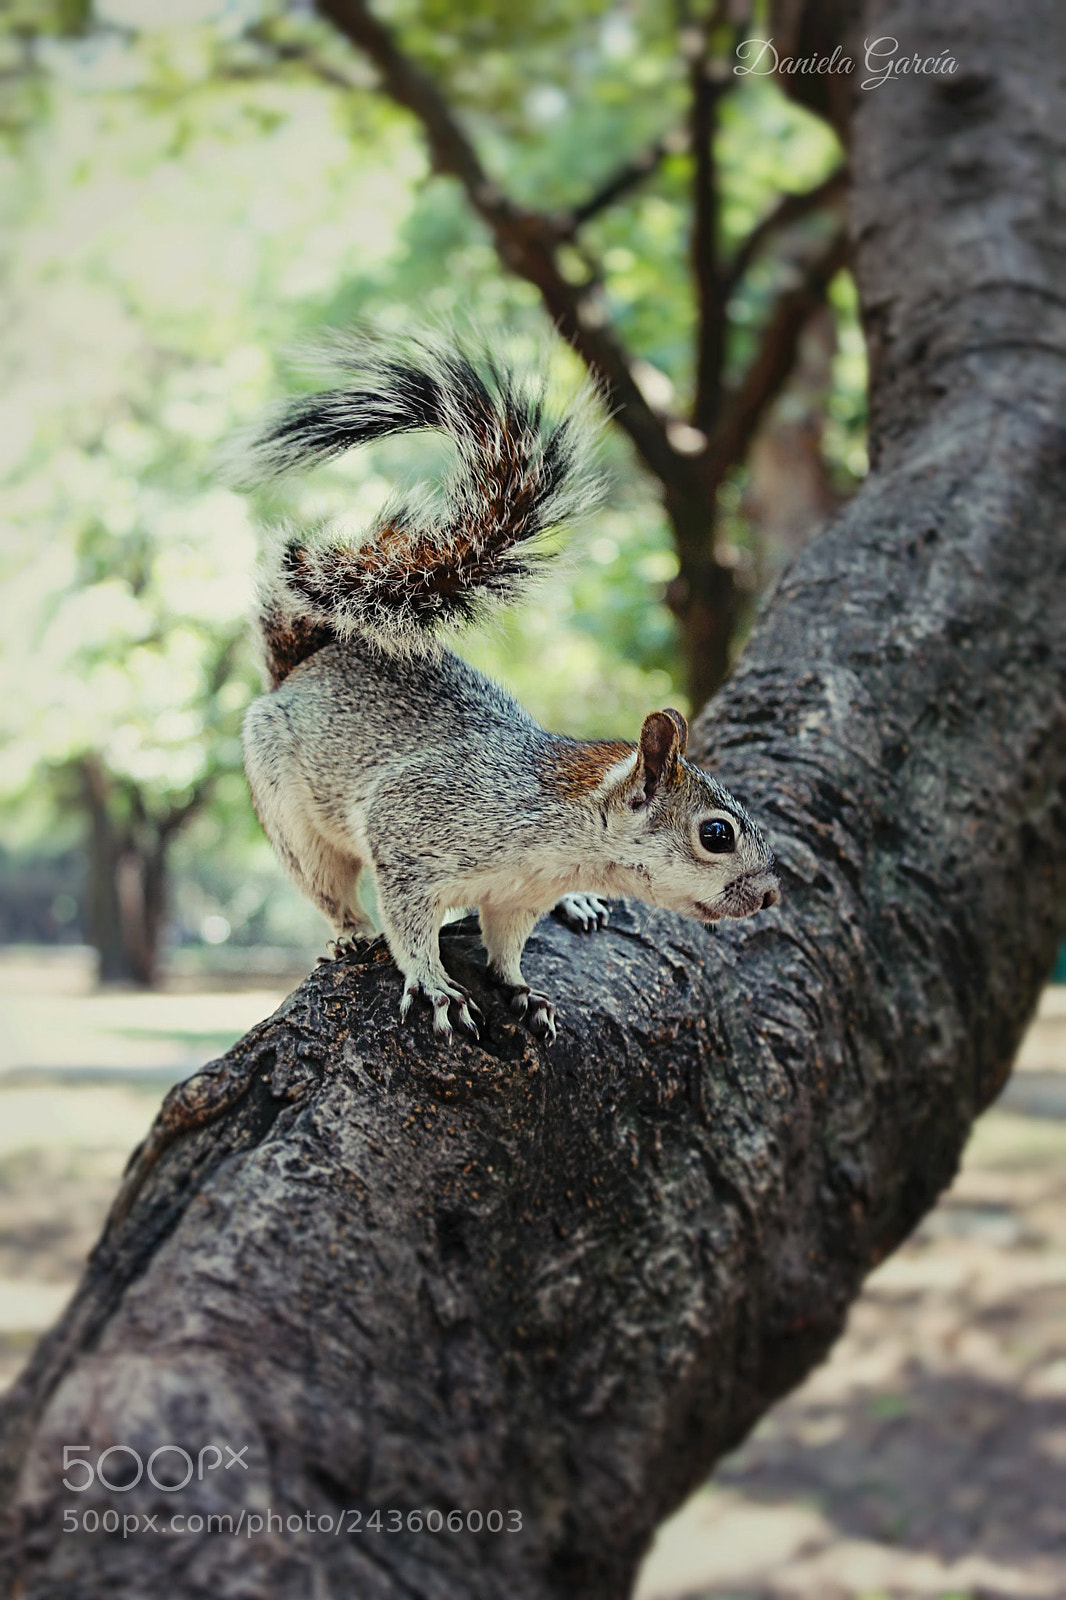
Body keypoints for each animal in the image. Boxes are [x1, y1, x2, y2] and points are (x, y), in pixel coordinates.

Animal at [238, 333, 780, 1044]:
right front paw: (435, 985)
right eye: (716, 835)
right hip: (287, 809)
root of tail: (305, 666)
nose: (771, 894)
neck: (562, 836)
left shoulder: (520, 898)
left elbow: (508, 944)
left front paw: (521, 988)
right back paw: (351, 931)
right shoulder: (411, 833)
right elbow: (410, 926)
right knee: (325, 883)